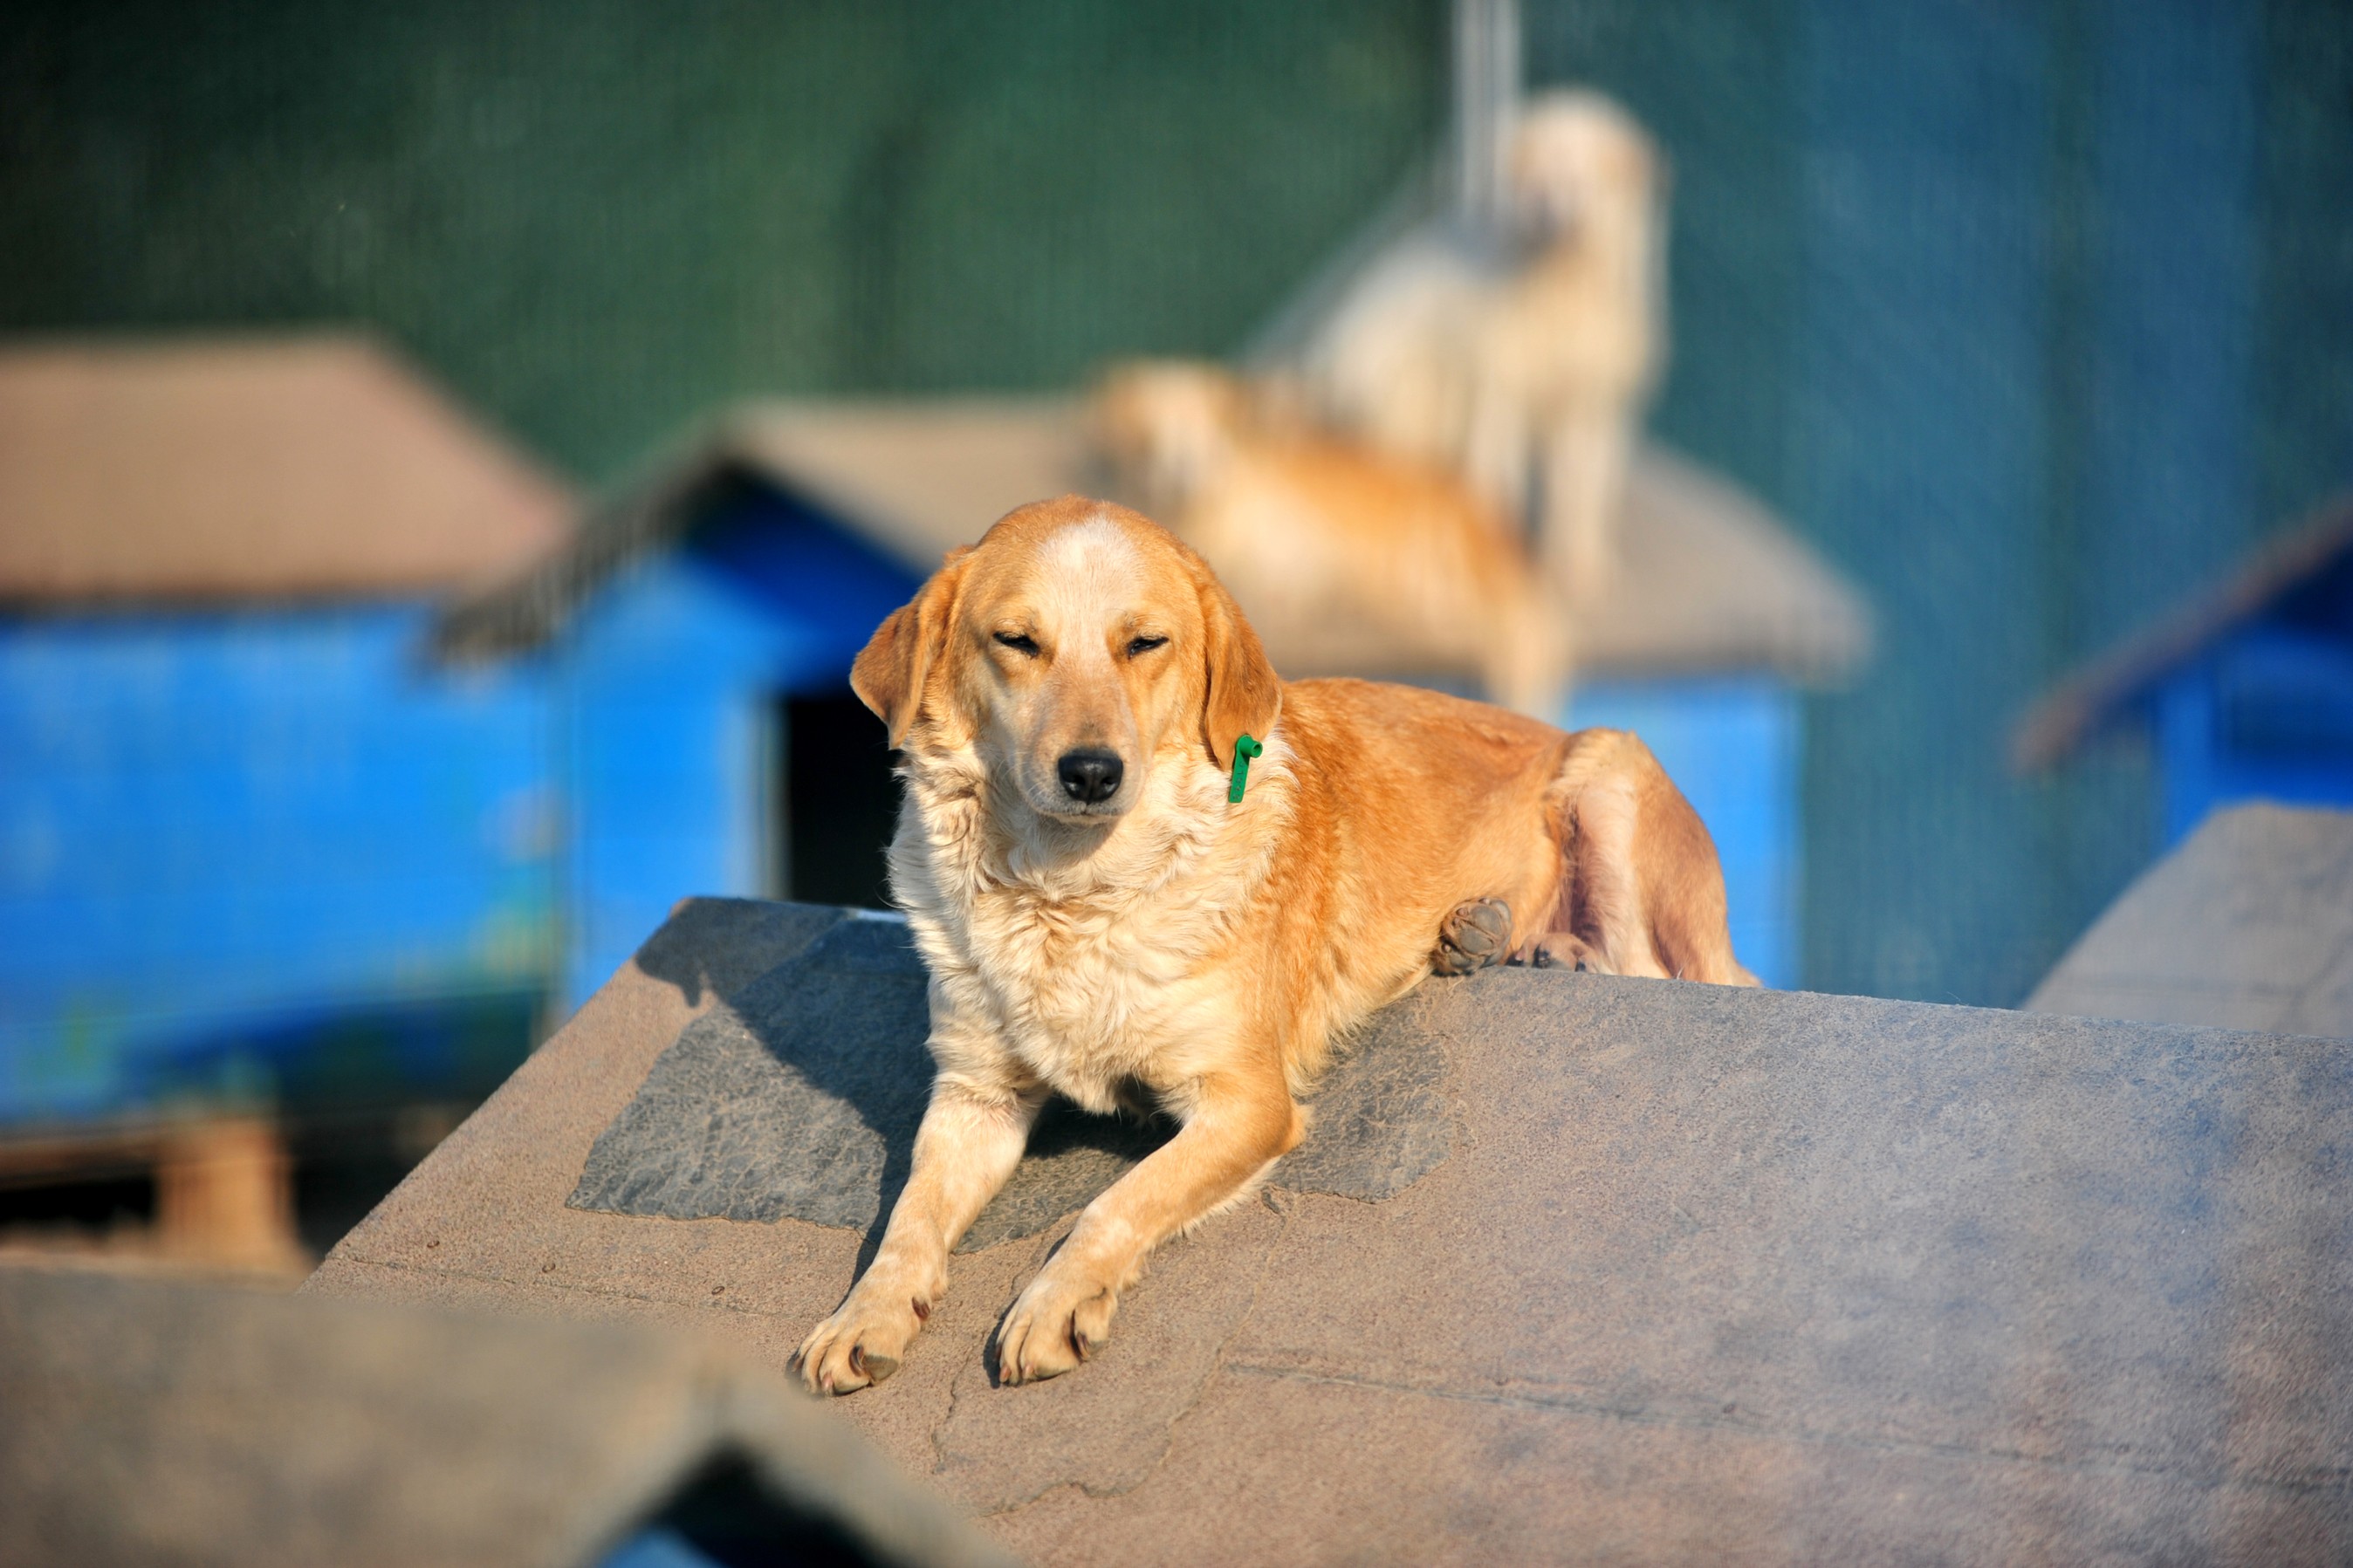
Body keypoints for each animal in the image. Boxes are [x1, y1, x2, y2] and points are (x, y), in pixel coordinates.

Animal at [799, 496, 1741, 1391]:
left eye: (1145, 643)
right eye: (1018, 642)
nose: (1092, 772)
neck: (1069, 894)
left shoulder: (1247, 1103)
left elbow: (1118, 1199)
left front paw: (1056, 1301)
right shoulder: (974, 1097)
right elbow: (908, 1217)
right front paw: (863, 1316)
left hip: (1612, 777)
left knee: (1664, 968)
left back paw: (1553, 948)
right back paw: (1484, 937)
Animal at [1299, 90, 1665, 606]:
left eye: (1579, 175)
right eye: (1536, 177)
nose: (1544, 210)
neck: (1562, 293)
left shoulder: (1590, 404)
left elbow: (1581, 496)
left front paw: (1582, 570)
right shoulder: (1501, 391)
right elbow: (1501, 482)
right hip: (1411, 402)